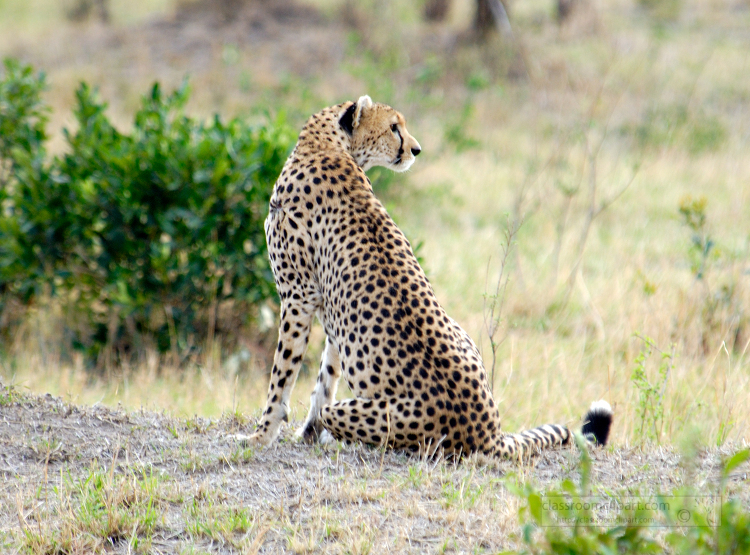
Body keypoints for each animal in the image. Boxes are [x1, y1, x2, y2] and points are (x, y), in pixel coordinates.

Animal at [247, 96, 612, 460]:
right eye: (394, 127)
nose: (416, 149)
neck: (327, 147)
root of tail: (488, 430)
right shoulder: (324, 307)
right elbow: (326, 374)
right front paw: (305, 434)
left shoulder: (298, 297)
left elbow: (282, 376)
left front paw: (260, 437)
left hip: (381, 417)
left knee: (337, 415)